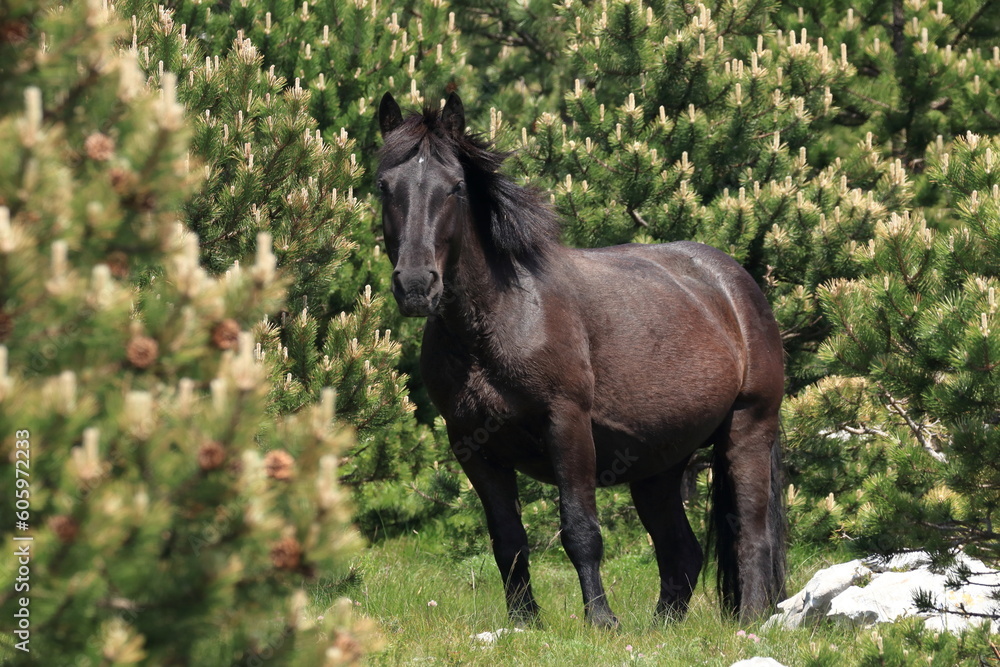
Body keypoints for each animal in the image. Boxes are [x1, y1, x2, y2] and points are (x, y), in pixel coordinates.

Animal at [375, 91, 786, 627]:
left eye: (455, 187)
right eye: (385, 185)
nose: (416, 285)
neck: (501, 318)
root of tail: (733, 283)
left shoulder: (566, 424)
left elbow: (580, 530)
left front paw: (602, 621)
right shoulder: (472, 446)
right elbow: (508, 540)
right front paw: (524, 621)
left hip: (748, 429)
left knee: (751, 533)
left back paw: (751, 621)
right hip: (658, 465)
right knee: (681, 550)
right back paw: (661, 627)